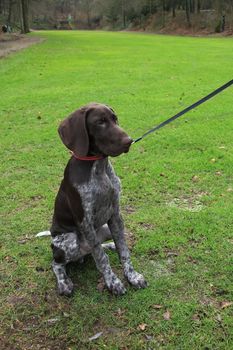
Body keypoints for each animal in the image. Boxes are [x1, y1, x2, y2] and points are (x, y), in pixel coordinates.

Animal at [50, 103, 147, 296]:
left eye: (115, 119)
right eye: (100, 122)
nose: (129, 141)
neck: (98, 167)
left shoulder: (116, 215)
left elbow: (124, 251)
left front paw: (132, 276)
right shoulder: (86, 222)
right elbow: (102, 259)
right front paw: (113, 283)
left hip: (105, 229)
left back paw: (109, 245)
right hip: (69, 241)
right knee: (56, 263)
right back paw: (64, 282)